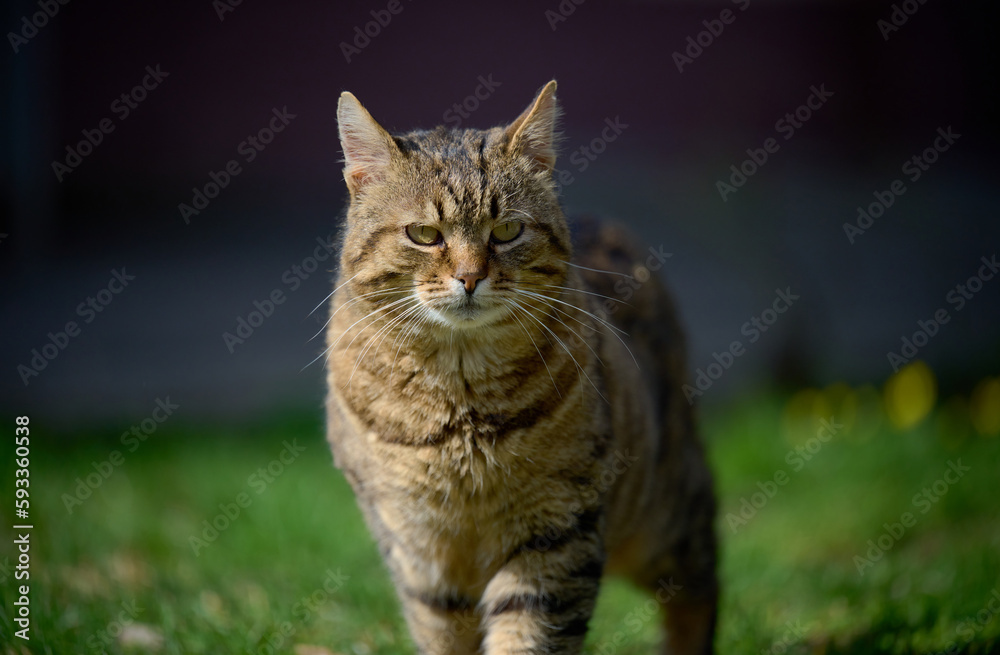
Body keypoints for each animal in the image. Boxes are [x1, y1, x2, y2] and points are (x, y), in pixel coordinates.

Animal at [324, 82, 716, 655]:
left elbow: (528, 634)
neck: (459, 400)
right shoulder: (421, 555)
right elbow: (443, 635)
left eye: (507, 230)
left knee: (700, 577)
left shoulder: (555, 529)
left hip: (663, 511)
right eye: (424, 234)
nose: (469, 277)